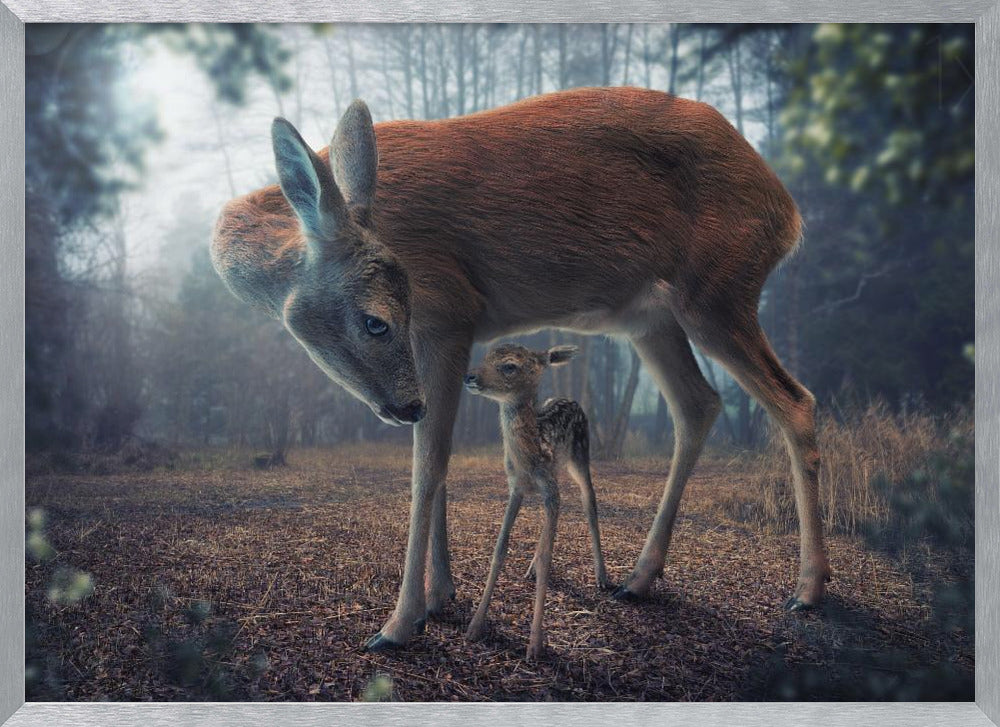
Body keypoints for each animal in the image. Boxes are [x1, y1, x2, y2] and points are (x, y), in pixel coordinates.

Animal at [463, 342, 610, 659]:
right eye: (486, 356)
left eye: (509, 366)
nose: (469, 376)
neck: (529, 459)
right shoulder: (516, 488)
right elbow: (500, 548)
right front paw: (475, 626)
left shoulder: (549, 487)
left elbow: (548, 558)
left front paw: (535, 645)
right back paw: (530, 568)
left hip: (580, 456)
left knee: (589, 502)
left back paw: (602, 576)